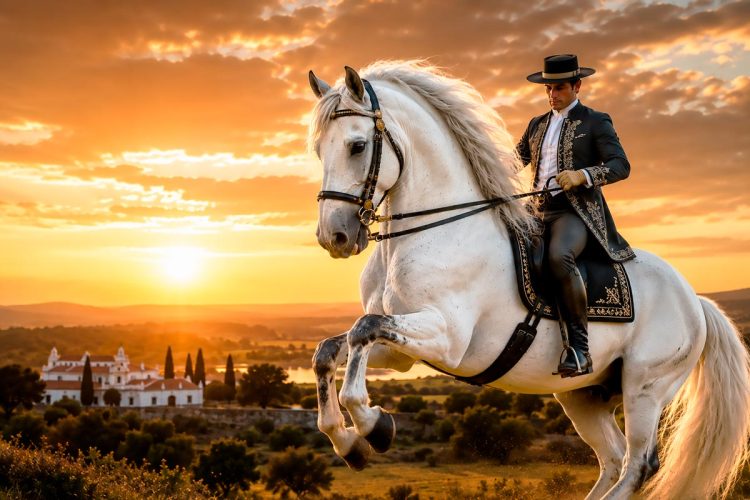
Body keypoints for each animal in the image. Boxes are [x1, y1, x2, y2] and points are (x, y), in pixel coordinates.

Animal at [306, 60, 750, 499]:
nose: (335, 237)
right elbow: (330, 351)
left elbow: (363, 330)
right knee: (612, 459)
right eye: (318, 150)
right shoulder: (402, 352)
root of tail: (695, 301)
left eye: (357, 146)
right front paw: (348, 442)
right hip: (584, 395)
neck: (436, 230)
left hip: (646, 387)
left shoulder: (447, 338)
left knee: (637, 466)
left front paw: (374, 427)